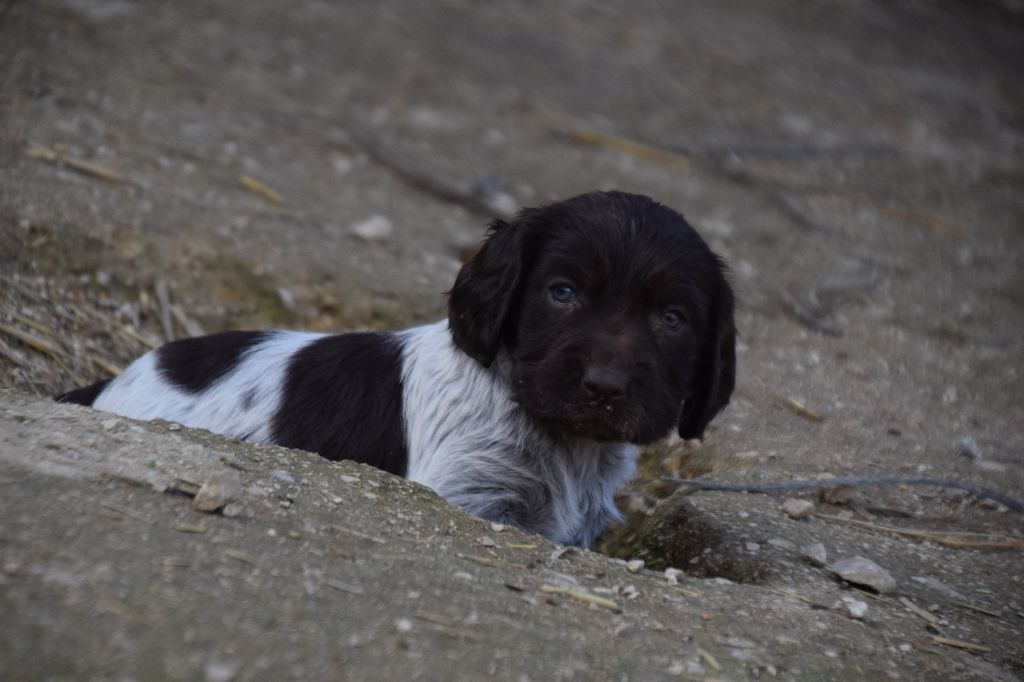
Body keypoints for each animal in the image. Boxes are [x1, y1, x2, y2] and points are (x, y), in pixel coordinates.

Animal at [57, 191, 736, 547]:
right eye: (562, 293)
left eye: (673, 319)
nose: (604, 387)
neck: (561, 442)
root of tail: (110, 382)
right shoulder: (469, 495)